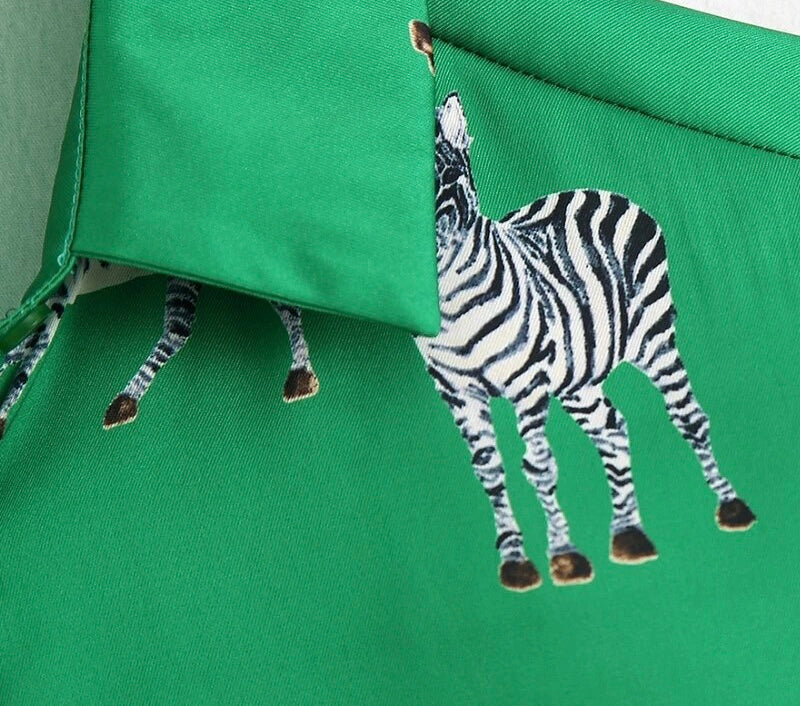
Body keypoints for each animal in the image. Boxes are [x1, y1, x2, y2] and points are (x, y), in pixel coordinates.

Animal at [415, 92, 756, 592]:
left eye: (448, 177)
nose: (425, 250)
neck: (455, 309)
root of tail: (602, 191)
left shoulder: (526, 383)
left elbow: (539, 467)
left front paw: (564, 555)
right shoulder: (457, 394)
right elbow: (489, 472)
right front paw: (515, 560)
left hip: (654, 335)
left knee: (688, 416)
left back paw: (730, 507)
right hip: (578, 374)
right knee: (611, 428)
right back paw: (629, 534)